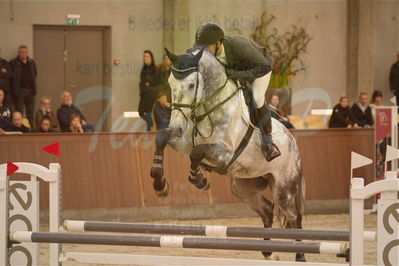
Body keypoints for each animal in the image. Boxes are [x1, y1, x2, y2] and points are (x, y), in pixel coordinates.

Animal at [150, 46, 306, 260]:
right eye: (170, 83)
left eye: (191, 85)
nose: (176, 126)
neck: (210, 107)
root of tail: (293, 141)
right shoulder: (182, 143)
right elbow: (162, 139)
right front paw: (160, 184)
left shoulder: (224, 154)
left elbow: (196, 153)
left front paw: (199, 179)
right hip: (243, 187)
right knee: (267, 210)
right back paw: (268, 252)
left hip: (283, 188)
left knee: (293, 216)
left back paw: (300, 256)